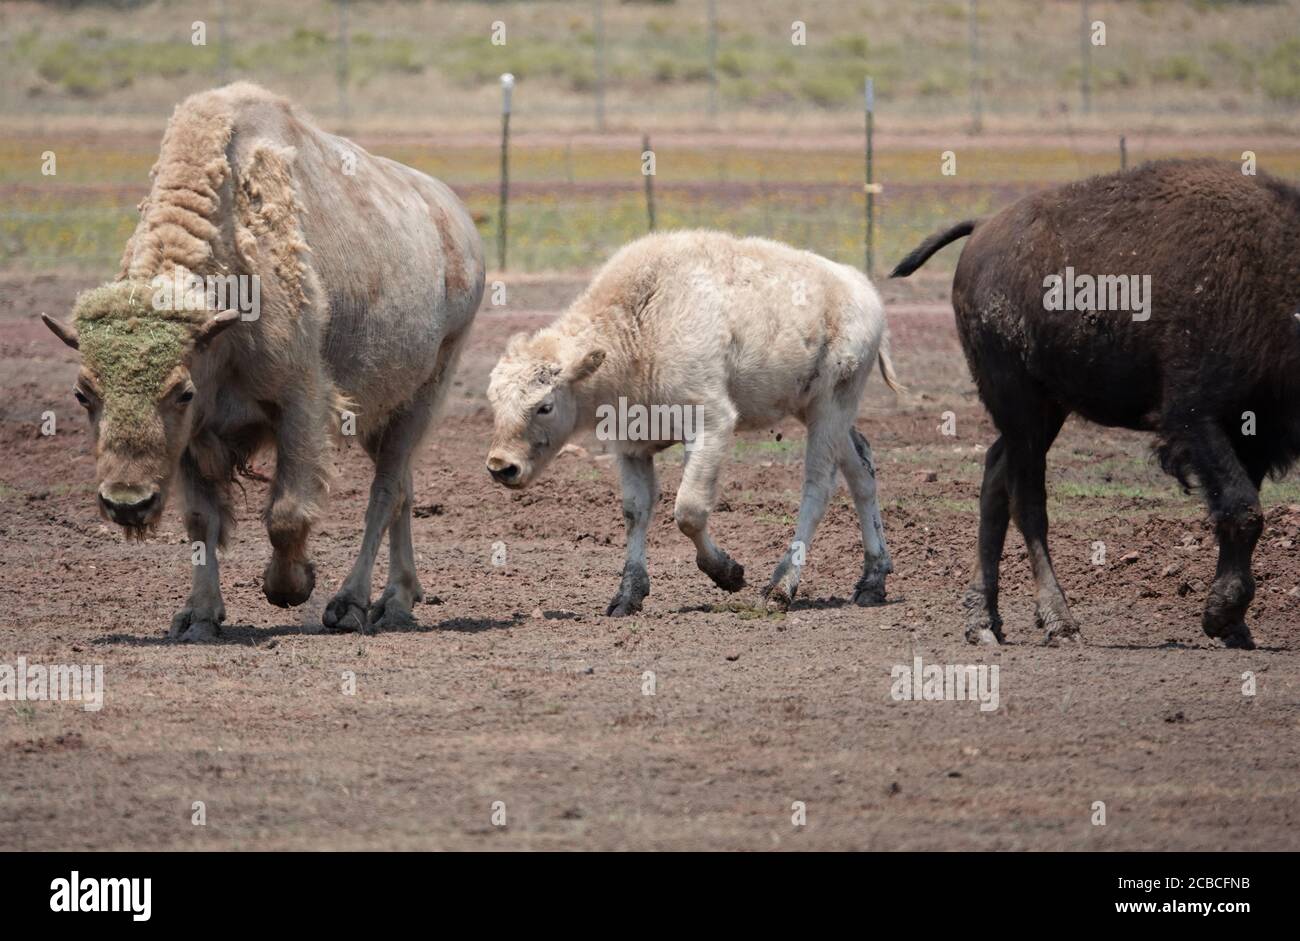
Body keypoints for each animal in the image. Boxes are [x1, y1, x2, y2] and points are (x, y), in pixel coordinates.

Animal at [44, 82, 488, 639]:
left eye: (181, 391)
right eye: (83, 394)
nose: (128, 502)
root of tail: (457, 222)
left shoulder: (298, 403)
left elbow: (286, 513)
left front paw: (290, 587)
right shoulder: (195, 437)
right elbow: (202, 520)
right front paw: (198, 617)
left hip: (426, 392)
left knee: (384, 494)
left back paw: (351, 604)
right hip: (379, 413)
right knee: (403, 491)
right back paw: (398, 600)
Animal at [483, 231, 899, 618]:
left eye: (545, 406)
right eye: (494, 400)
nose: (502, 466)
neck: (641, 325)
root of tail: (863, 289)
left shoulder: (711, 426)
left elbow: (689, 510)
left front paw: (729, 573)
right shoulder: (630, 446)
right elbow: (636, 511)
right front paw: (627, 596)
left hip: (830, 408)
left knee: (818, 487)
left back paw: (780, 589)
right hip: (817, 410)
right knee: (861, 470)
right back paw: (872, 580)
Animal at [894, 157, 1300, 649]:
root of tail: (983, 228)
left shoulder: (1255, 434)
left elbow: (1239, 510)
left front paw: (1232, 625)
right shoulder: (1194, 417)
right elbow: (1243, 510)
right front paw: (1224, 617)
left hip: (1044, 410)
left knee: (996, 478)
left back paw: (984, 623)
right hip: (1020, 405)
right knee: (1027, 501)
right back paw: (1059, 622)